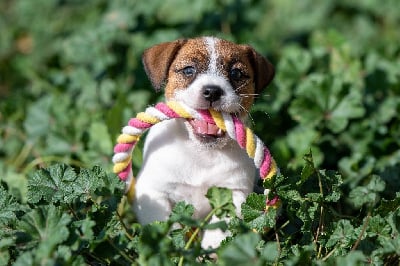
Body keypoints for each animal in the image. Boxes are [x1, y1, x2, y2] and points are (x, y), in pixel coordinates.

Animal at [134, 36, 276, 248]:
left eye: (236, 73)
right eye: (188, 70)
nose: (212, 91)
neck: (201, 153)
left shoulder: (234, 192)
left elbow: (220, 226)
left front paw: (211, 249)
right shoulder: (152, 190)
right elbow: (163, 223)